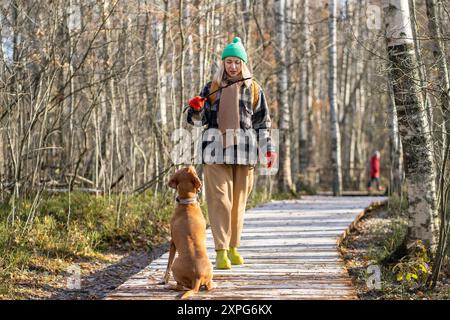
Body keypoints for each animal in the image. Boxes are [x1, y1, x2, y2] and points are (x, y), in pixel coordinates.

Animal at [164, 166, 215, 298]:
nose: (190, 165)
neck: (187, 202)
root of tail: (197, 277)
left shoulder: (172, 242)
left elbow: (168, 263)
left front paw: (164, 279)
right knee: (208, 286)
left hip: (176, 265)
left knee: (179, 286)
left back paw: (171, 286)